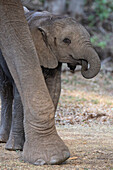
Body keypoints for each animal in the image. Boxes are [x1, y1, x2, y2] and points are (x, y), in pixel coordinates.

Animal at [0, 7, 100, 163]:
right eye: (66, 40)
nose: (80, 64)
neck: (48, 21)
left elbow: (54, 88)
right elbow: (19, 94)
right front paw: (15, 148)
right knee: (5, 89)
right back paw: (4, 141)